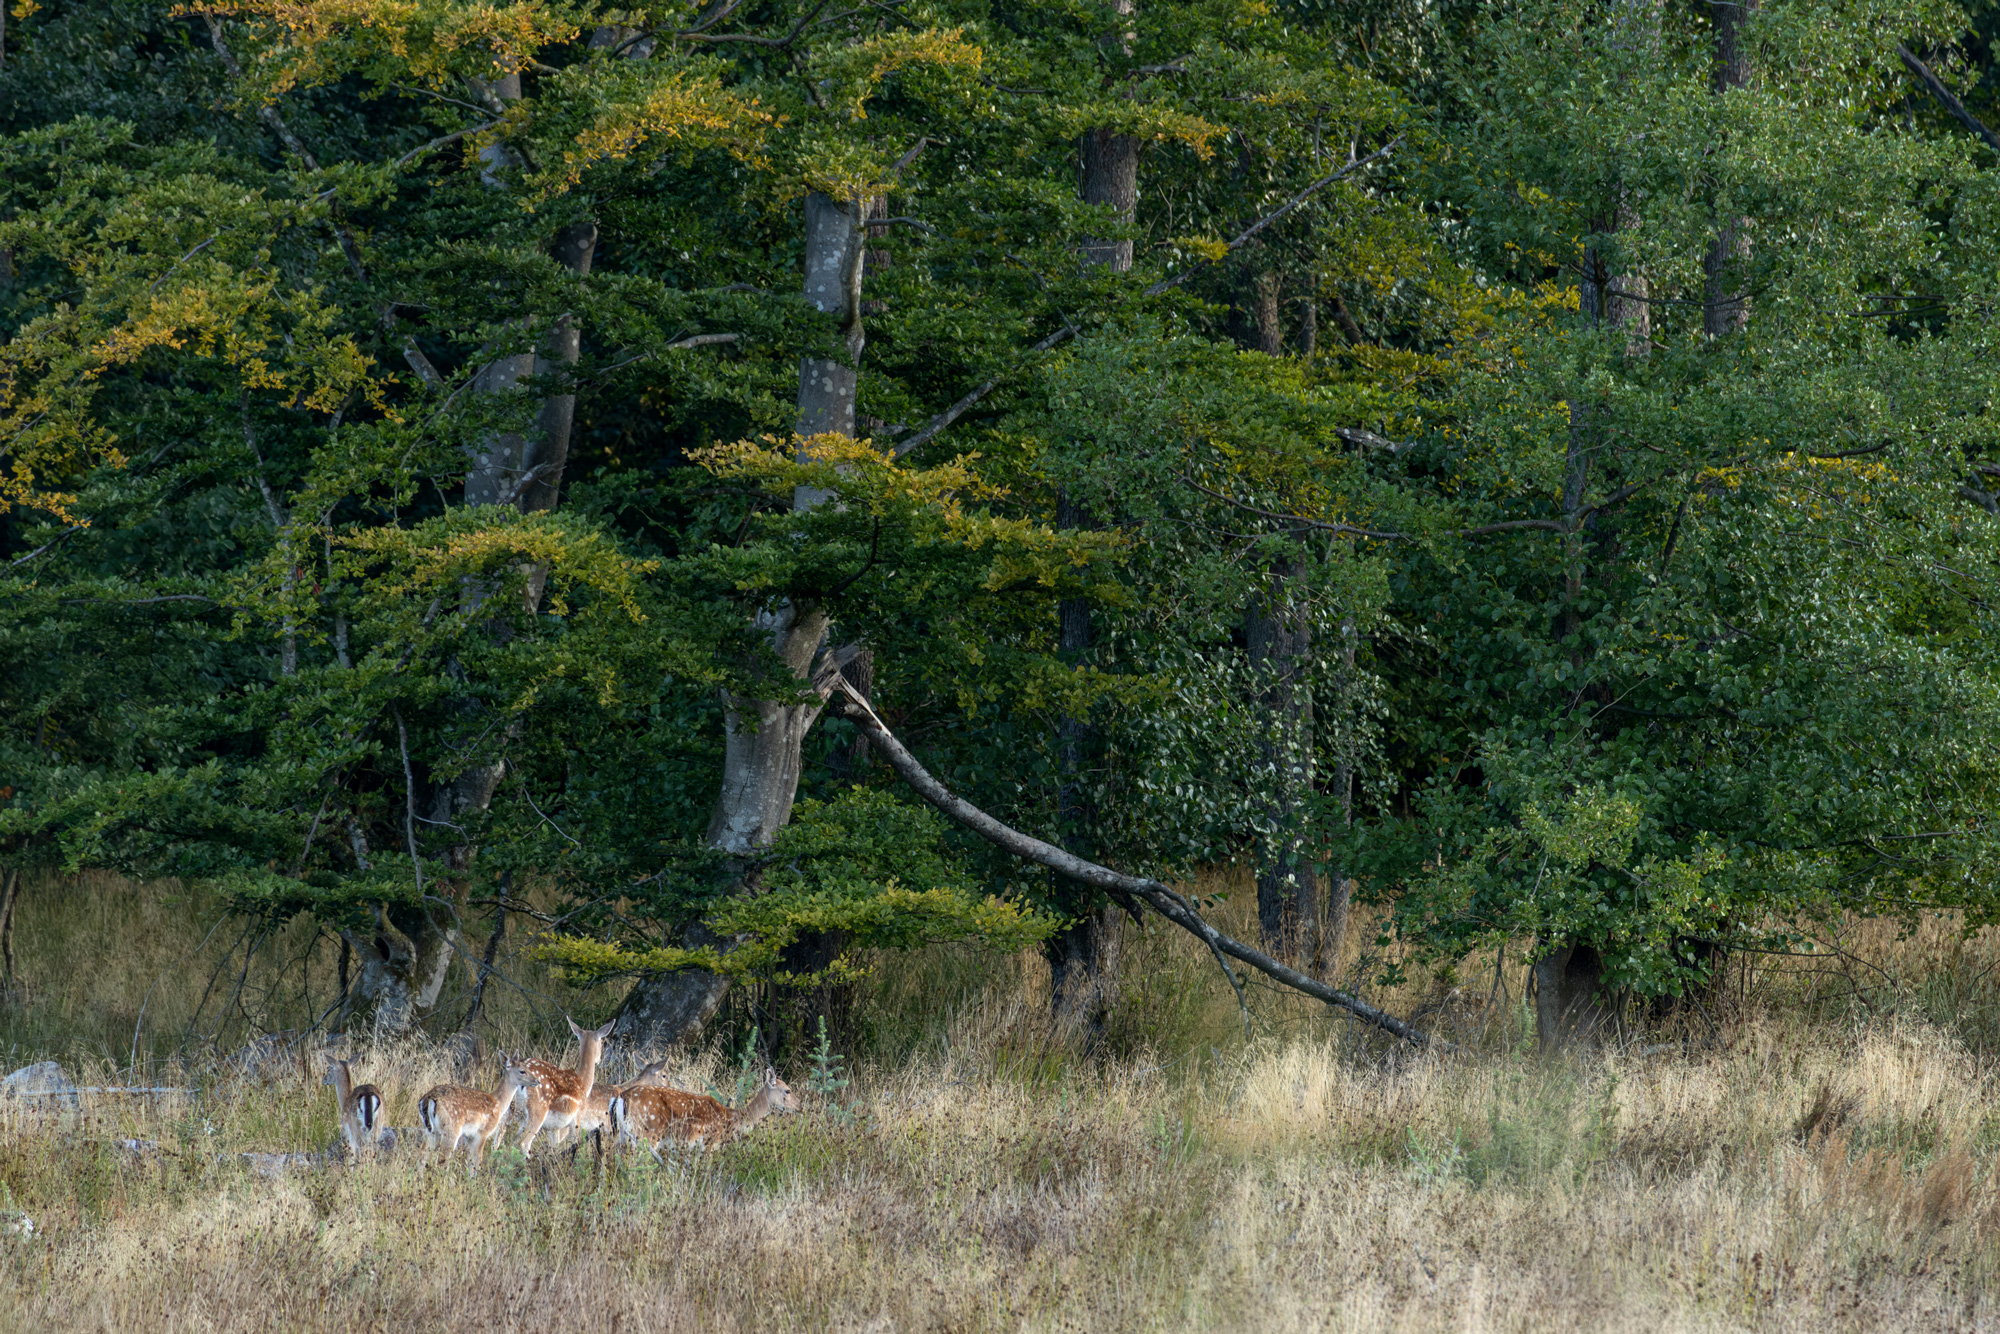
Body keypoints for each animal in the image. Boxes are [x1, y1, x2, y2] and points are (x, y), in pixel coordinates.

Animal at [513, 1016, 617, 1158]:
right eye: (601, 1042)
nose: (599, 1059)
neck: (583, 1084)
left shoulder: (554, 1129)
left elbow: (554, 1147)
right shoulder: (577, 1117)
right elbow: (576, 1144)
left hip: (518, 1113)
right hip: (537, 1109)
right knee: (524, 1143)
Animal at [609, 1066, 800, 1155]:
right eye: (787, 1090)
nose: (800, 1106)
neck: (732, 1120)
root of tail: (621, 1098)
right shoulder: (709, 1142)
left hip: (621, 1136)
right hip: (646, 1133)